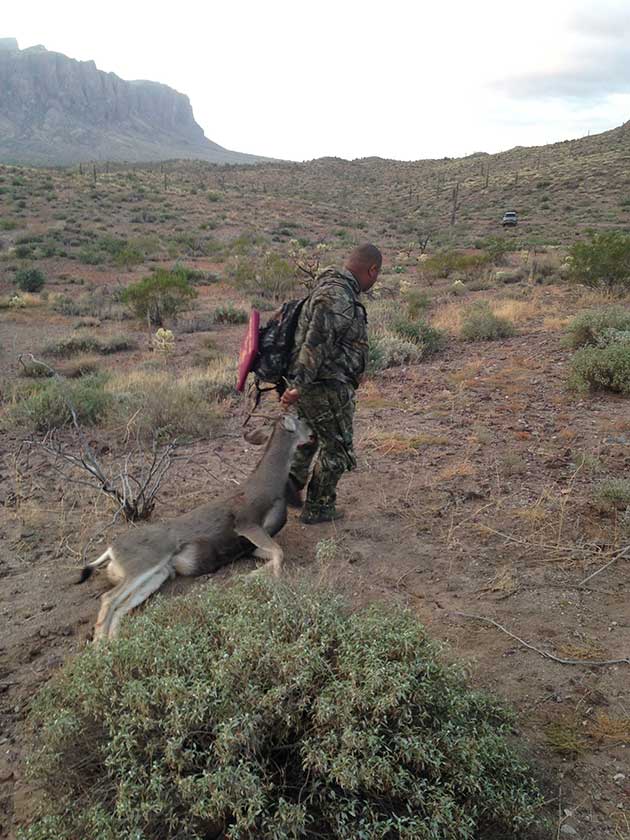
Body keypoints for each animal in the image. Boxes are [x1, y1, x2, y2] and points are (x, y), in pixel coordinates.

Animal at [78, 416, 312, 644]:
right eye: (299, 418)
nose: (312, 432)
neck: (269, 484)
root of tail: (111, 551)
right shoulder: (246, 523)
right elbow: (279, 553)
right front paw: (269, 582)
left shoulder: (249, 546)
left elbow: (275, 554)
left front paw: (251, 576)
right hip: (144, 563)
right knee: (108, 599)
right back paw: (99, 647)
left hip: (158, 574)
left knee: (120, 607)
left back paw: (112, 644)